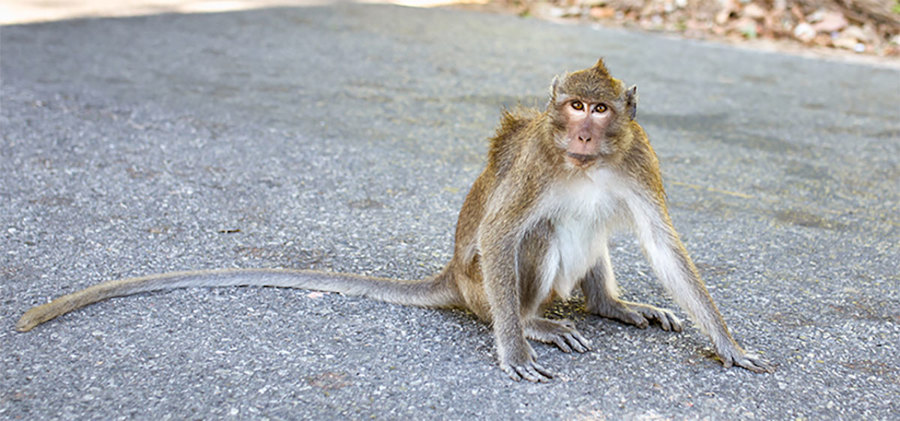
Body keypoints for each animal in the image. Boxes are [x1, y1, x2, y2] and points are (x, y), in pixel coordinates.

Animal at [15, 60, 772, 380]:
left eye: (602, 109)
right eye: (575, 108)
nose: (585, 130)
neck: (581, 161)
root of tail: (452, 279)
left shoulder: (638, 157)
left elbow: (663, 241)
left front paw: (729, 345)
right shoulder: (537, 161)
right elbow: (504, 231)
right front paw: (515, 349)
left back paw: (609, 306)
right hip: (481, 288)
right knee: (536, 235)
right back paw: (532, 323)